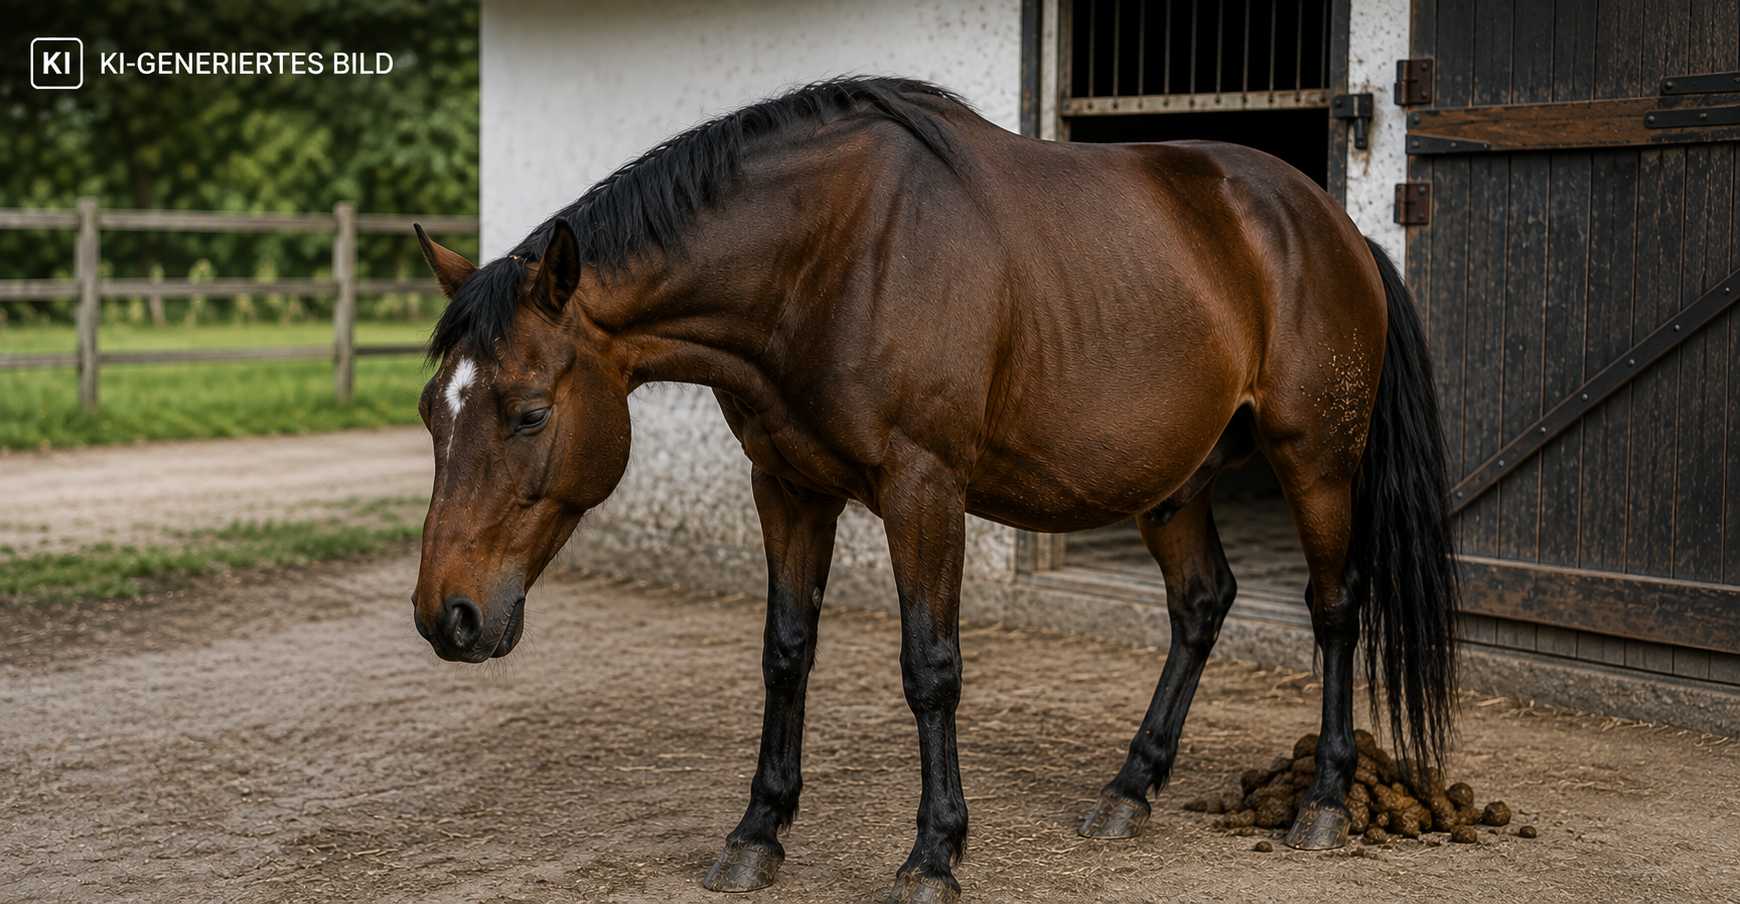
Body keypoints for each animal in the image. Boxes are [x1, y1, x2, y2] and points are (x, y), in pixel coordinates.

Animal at [409, 77, 1458, 904]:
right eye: (430, 410)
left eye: (529, 413)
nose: (447, 617)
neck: (825, 261)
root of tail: (1335, 226)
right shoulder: (787, 487)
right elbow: (785, 654)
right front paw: (756, 835)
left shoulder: (924, 488)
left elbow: (930, 668)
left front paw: (933, 854)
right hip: (1173, 479)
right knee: (1201, 603)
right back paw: (1128, 789)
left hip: (1315, 459)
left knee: (1334, 608)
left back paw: (1323, 803)